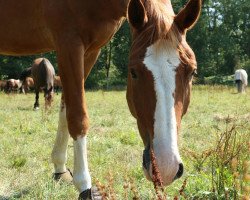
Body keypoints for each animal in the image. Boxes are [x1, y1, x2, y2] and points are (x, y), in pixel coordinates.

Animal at [0, 0, 202, 198]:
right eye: (133, 72)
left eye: (192, 72)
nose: (166, 167)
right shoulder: (69, 43)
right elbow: (78, 117)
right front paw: (84, 185)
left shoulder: (91, 51)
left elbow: (66, 109)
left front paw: (59, 168)